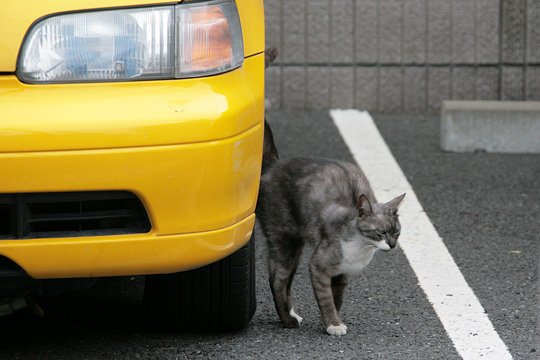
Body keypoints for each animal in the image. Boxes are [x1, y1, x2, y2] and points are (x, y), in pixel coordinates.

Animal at [258, 156, 404, 336]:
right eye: (381, 232)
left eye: (396, 231)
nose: (392, 244)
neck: (361, 246)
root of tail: (274, 166)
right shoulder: (318, 266)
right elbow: (327, 299)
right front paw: (333, 325)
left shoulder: (343, 274)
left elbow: (337, 299)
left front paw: (333, 320)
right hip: (284, 239)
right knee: (277, 280)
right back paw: (288, 320)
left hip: (296, 249)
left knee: (287, 282)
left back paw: (292, 313)